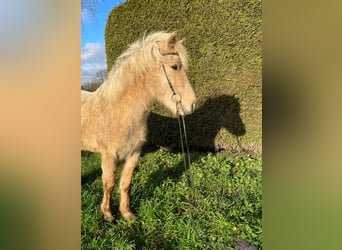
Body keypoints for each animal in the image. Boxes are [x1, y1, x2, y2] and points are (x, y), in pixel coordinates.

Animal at [81, 31, 196, 221]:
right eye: (174, 66)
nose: (192, 105)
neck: (120, 110)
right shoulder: (108, 156)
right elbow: (109, 183)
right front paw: (108, 214)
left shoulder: (133, 154)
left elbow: (125, 184)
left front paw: (127, 213)